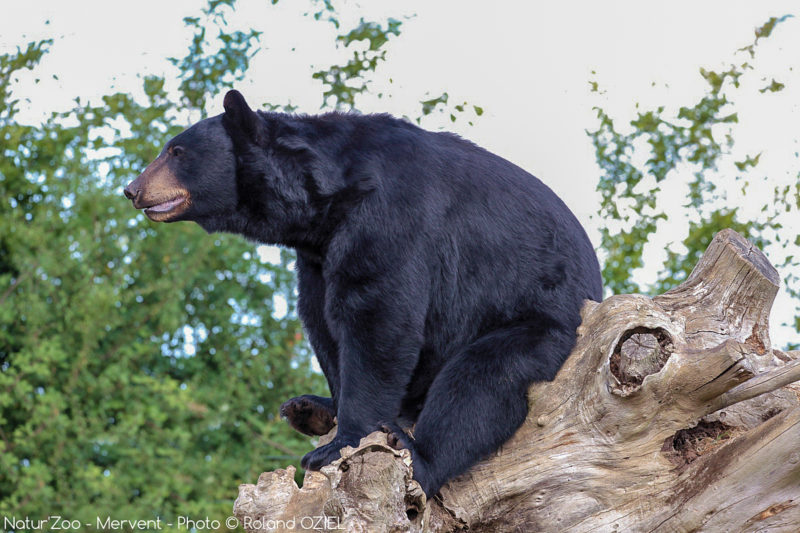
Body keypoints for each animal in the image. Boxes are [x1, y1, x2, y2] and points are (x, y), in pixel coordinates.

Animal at [123, 90, 600, 494]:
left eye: (176, 152)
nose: (132, 189)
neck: (327, 202)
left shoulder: (391, 215)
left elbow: (378, 314)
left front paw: (339, 444)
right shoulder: (317, 253)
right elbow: (321, 319)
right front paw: (332, 410)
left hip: (538, 317)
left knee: (480, 380)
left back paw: (419, 455)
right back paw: (308, 408)